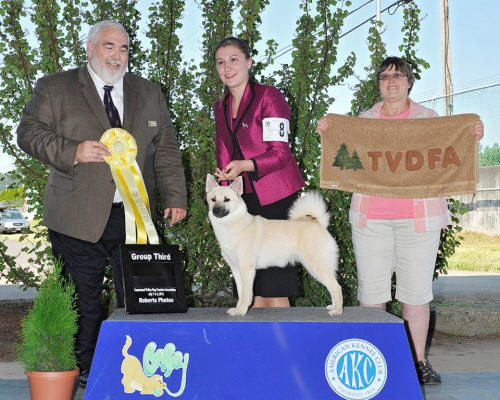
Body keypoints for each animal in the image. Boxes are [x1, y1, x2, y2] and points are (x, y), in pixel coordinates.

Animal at [205, 174, 342, 316]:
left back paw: (337, 310)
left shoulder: (246, 269)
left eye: (226, 199)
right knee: (332, 286)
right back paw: (333, 307)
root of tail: (319, 224)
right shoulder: (236, 269)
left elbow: (246, 294)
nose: (216, 210)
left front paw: (241, 311)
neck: (233, 225)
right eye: (213, 199)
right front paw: (237, 309)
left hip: (317, 266)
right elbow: (241, 293)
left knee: (336, 287)